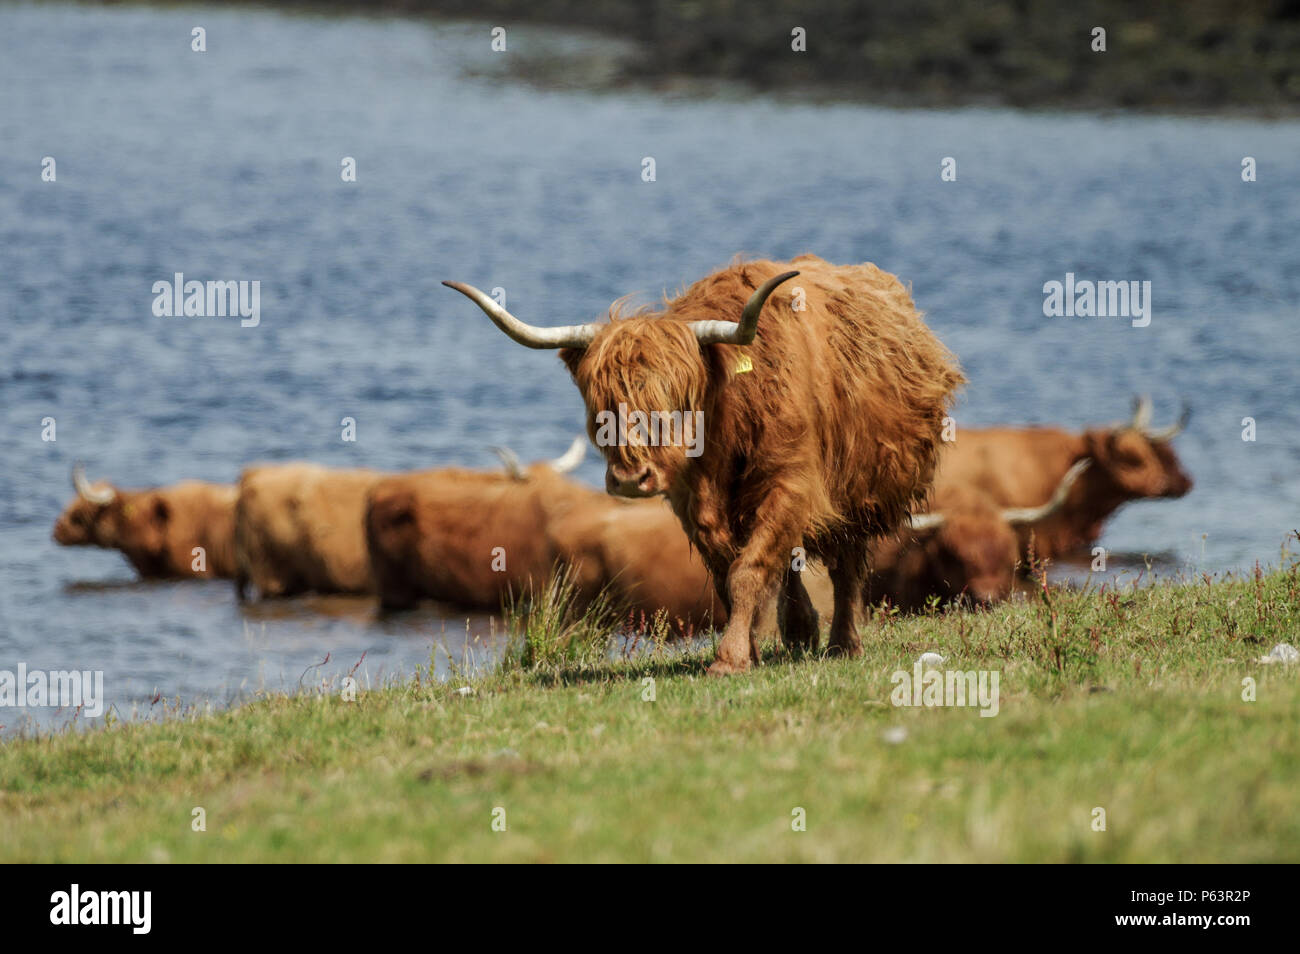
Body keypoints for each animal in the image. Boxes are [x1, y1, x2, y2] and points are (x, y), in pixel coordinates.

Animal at [444, 254, 965, 674]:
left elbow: (750, 567)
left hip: (862, 491)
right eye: (601, 406)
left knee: (846, 564)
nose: (630, 479)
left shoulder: (791, 481)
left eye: (674, 401)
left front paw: (731, 659)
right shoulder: (691, 500)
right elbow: (729, 573)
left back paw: (842, 644)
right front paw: (753, 647)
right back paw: (800, 632)